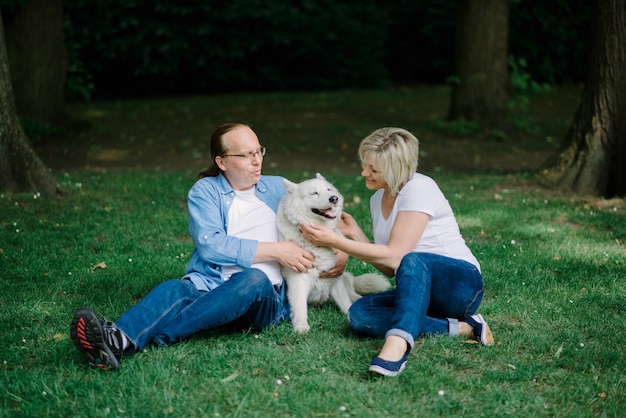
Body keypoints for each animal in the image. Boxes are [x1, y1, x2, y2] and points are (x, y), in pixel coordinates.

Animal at [276, 173, 388, 334]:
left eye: (328, 189)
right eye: (314, 193)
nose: (334, 198)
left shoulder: (335, 279)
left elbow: (345, 303)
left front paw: (349, 313)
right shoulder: (298, 280)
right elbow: (299, 307)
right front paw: (301, 326)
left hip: (345, 278)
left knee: (353, 294)